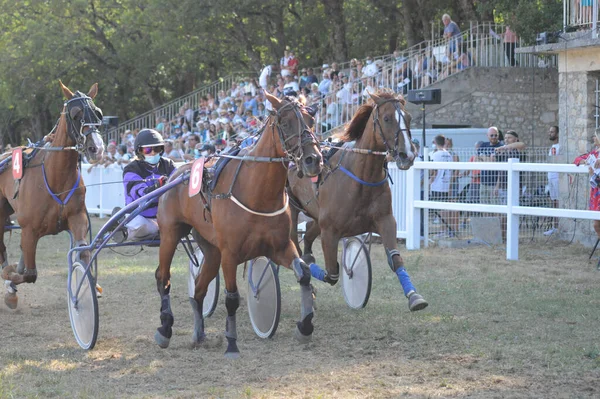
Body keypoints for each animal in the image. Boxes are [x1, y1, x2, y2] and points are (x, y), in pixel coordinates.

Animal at [0, 82, 104, 310]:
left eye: (98, 113)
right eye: (75, 114)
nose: (97, 148)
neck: (56, 177)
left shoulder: (77, 218)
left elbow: (83, 252)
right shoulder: (29, 230)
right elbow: (30, 274)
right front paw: (10, 280)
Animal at [155, 93, 324, 360]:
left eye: (311, 120)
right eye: (285, 123)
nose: (313, 160)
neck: (258, 192)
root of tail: (175, 173)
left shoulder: (279, 247)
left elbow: (304, 273)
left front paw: (305, 326)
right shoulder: (230, 254)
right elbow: (232, 298)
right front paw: (232, 344)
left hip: (211, 249)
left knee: (199, 291)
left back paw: (199, 333)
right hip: (171, 234)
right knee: (163, 278)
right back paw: (164, 329)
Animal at [288, 91, 428, 312]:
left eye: (408, 117)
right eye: (387, 118)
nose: (408, 154)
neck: (362, 176)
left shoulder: (385, 220)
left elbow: (395, 259)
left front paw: (414, 296)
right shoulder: (330, 231)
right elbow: (331, 273)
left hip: (316, 217)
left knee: (308, 237)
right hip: (293, 212)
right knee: (297, 245)